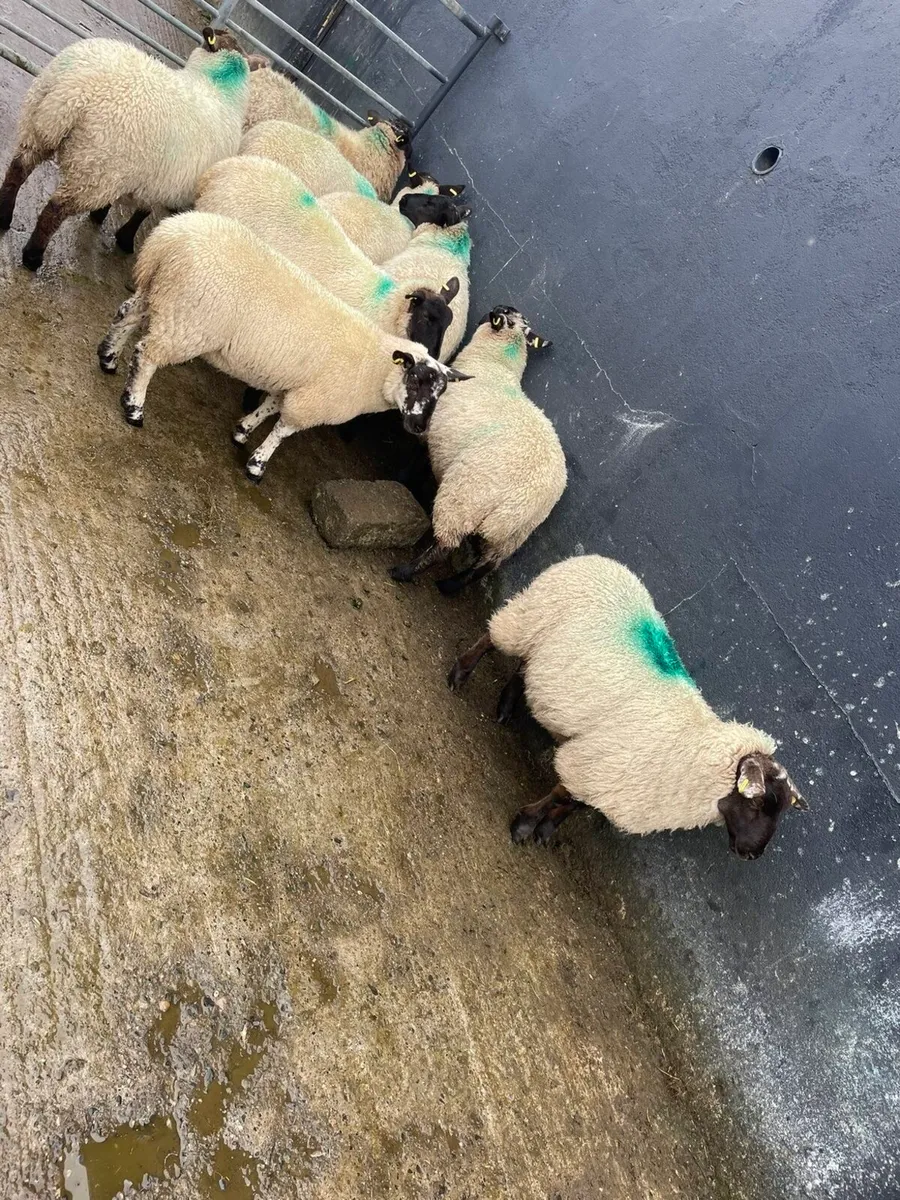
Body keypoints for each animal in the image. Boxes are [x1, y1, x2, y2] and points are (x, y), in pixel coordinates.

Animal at [0, 27, 252, 270]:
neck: (217, 85)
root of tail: (75, 89)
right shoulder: (165, 183)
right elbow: (144, 212)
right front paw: (125, 239)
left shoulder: (142, 174)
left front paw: (100, 214)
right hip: (97, 168)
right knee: (54, 210)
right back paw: (33, 256)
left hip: (41, 129)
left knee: (17, 170)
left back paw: (4, 215)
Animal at [96, 212, 471, 480]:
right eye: (415, 378)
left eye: (441, 391)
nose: (419, 428)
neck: (376, 365)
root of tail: (169, 237)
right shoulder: (312, 401)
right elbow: (283, 430)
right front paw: (257, 466)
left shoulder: (295, 384)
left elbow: (270, 407)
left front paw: (242, 431)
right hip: (188, 321)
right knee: (147, 355)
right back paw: (134, 407)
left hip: (161, 292)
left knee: (126, 316)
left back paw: (108, 359)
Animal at [390, 306, 564, 595]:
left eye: (498, 311)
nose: (486, 312)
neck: (494, 364)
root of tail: (523, 501)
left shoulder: (429, 430)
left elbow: (416, 461)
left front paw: (400, 477)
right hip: (514, 535)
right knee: (487, 565)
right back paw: (450, 585)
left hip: (464, 499)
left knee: (446, 545)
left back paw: (404, 571)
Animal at [448, 553, 808, 856]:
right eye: (757, 804)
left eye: (781, 810)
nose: (752, 853)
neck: (691, 748)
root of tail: (601, 560)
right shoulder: (599, 765)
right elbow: (563, 794)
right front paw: (525, 823)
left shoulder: (612, 780)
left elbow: (577, 803)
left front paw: (547, 828)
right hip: (530, 615)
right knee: (493, 638)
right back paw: (461, 673)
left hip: (547, 646)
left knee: (524, 664)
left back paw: (507, 705)